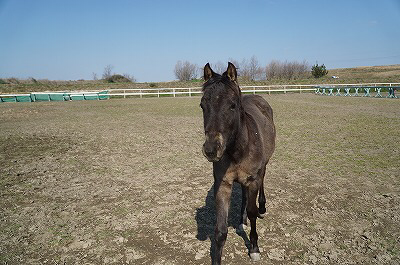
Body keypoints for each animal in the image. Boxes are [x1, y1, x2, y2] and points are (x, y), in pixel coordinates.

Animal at [200, 61, 276, 262]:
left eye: (232, 105)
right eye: (202, 105)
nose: (211, 149)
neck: (237, 150)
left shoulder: (253, 179)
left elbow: (252, 212)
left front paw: (255, 248)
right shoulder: (223, 183)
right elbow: (220, 230)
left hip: (263, 168)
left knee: (262, 183)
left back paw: (262, 207)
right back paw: (241, 221)